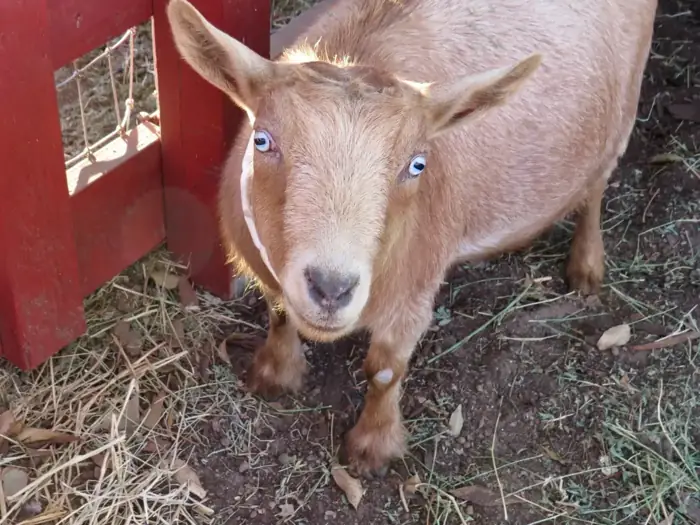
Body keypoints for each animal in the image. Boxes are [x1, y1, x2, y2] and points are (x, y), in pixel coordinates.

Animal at [166, 0, 658, 476]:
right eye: (263, 140)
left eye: (418, 164)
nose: (332, 288)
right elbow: (280, 313)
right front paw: (274, 374)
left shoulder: (414, 290)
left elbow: (384, 370)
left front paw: (372, 448)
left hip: (623, 109)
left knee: (596, 187)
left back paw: (586, 267)